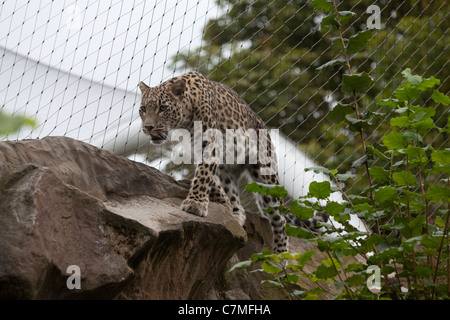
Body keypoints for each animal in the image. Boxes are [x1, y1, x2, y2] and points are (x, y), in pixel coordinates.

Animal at [138, 71, 326, 254]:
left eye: (163, 108)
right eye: (143, 109)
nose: (148, 127)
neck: (186, 117)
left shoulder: (210, 146)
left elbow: (203, 175)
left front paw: (195, 204)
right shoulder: (200, 151)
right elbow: (209, 179)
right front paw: (221, 203)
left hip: (265, 176)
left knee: (280, 219)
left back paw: (280, 256)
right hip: (228, 171)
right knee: (237, 199)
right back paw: (235, 216)